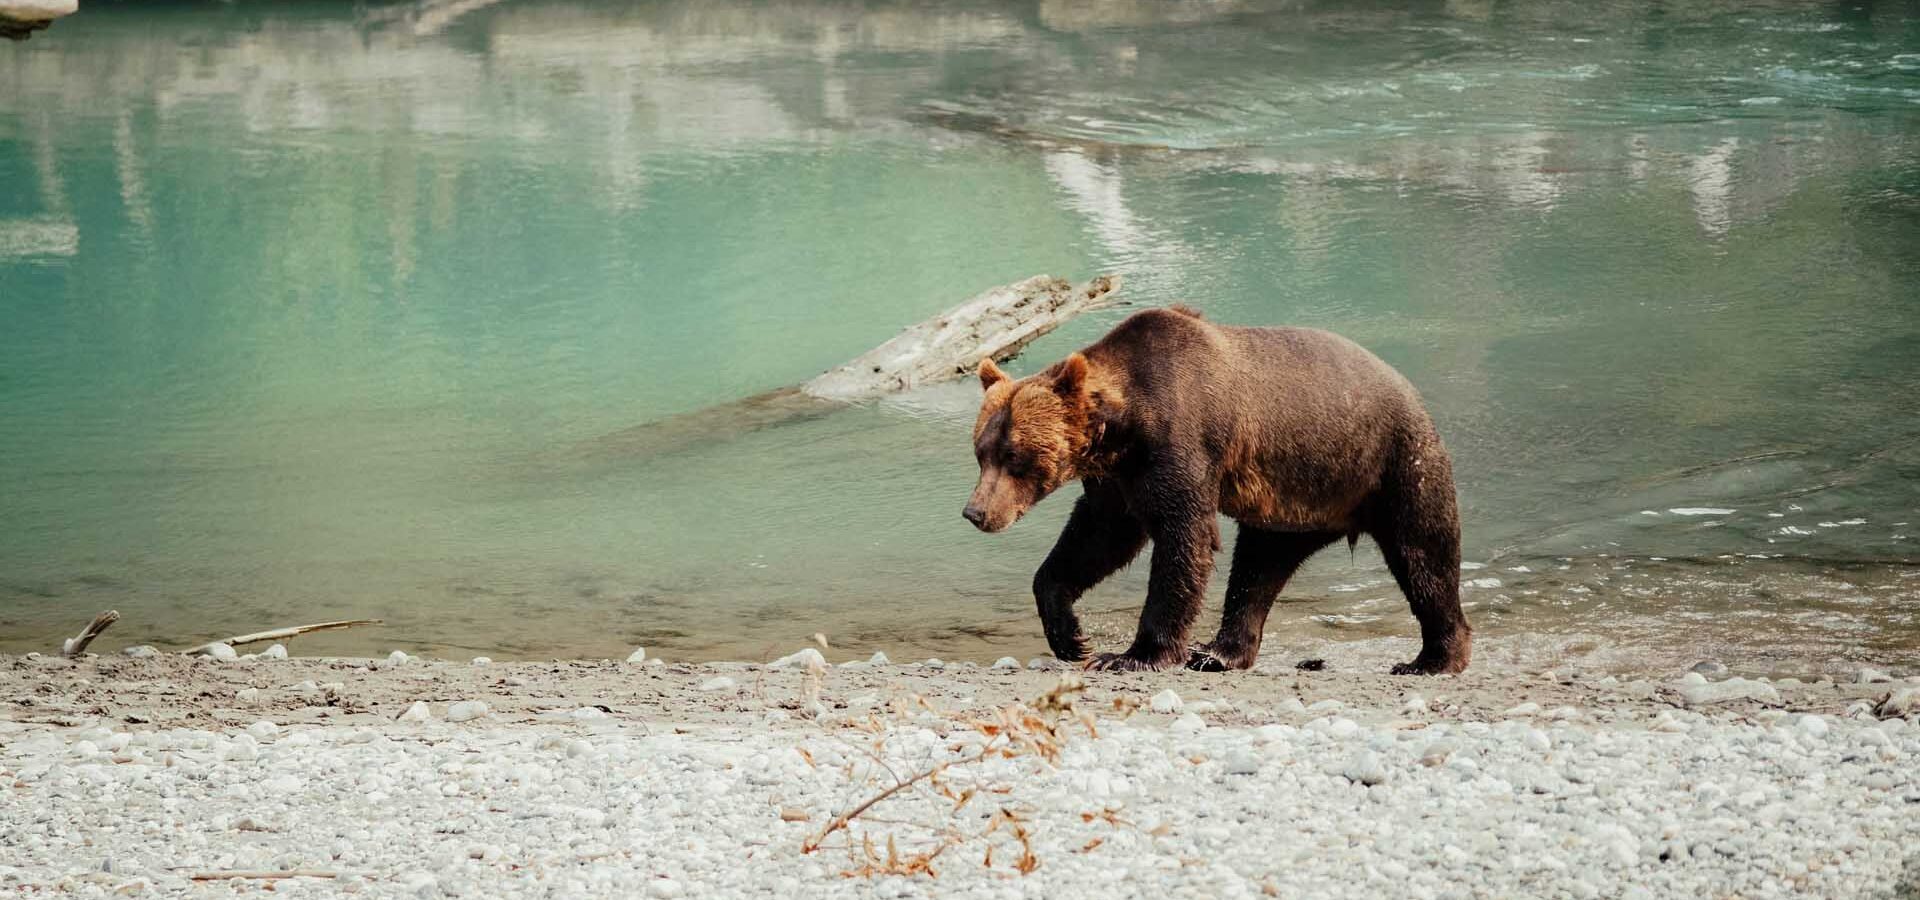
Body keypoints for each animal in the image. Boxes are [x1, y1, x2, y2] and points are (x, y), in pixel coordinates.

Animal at [960, 305, 1466, 671]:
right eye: (981, 452)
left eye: (1014, 457)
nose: (976, 513)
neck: (1126, 425)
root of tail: (1407, 387)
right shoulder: (1117, 479)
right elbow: (1096, 540)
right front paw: (1071, 636)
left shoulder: (1181, 442)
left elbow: (1182, 540)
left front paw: (1131, 655)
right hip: (1291, 506)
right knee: (1258, 571)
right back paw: (1219, 653)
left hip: (1392, 463)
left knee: (1424, 554)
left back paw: (1433, 657)